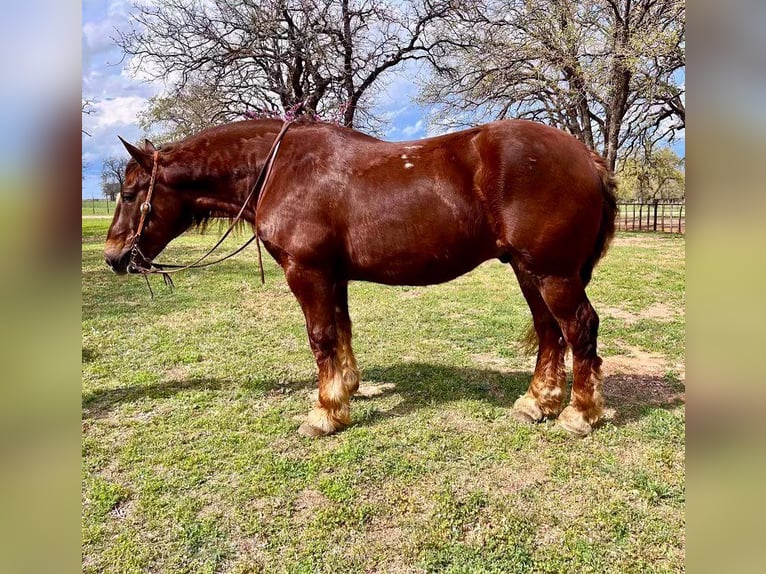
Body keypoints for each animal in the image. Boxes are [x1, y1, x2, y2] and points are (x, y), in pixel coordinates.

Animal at [103, 119, 616, 438]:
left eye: (129, 193)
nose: (112, 257)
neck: (280, 169)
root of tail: (585, 156)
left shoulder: (306, 271)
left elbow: (321, 337)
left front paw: (325, 413)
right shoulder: (333, 275)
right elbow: (341, 330)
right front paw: (346, 389)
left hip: (552, 273)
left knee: (579, 328)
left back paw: (579, 414)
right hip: (530, 271)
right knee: (550, 332)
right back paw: (538, 403)